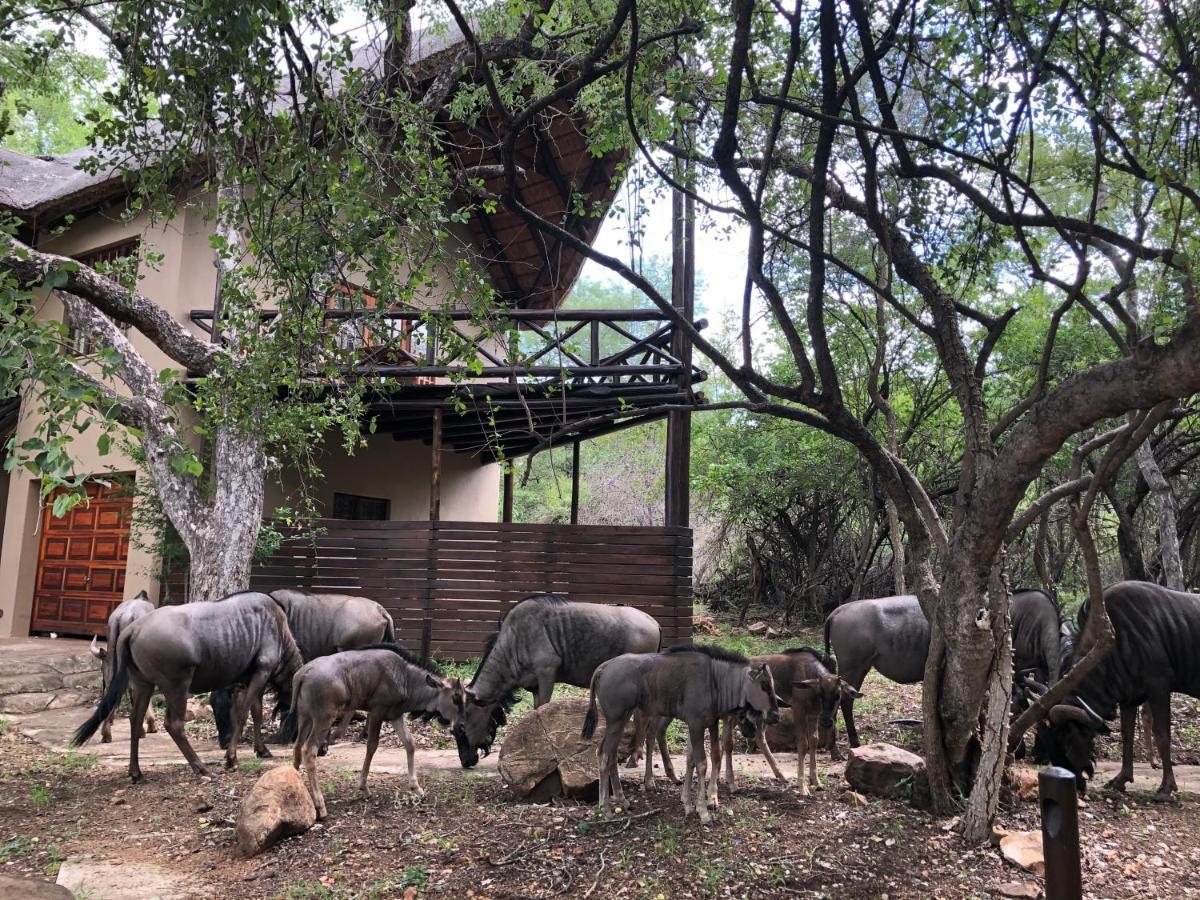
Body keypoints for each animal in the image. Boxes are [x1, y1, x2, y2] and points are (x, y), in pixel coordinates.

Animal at [288, 643, 465, 820]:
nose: (461, 726)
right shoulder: (376, 713)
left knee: (297, 747)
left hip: (305, 718)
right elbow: (372, 746)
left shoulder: (395, 715)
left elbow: (409, 743)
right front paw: (364, 787)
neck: (405, 677)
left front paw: (416, 788)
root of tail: (303, 673)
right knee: (309, 751)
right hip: (323, 719)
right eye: (455, 697)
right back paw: (320, 805)